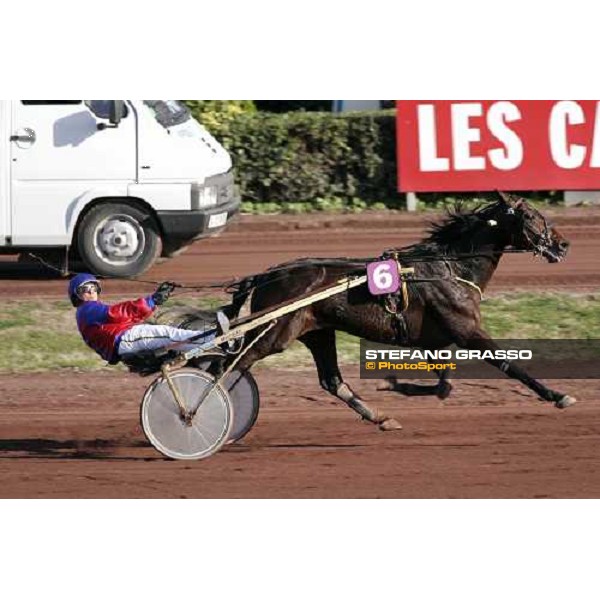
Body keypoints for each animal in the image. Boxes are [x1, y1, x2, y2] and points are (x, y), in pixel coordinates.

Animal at [204, 192, 576, 432]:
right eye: (530, 216)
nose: (562, 244)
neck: (450, 267)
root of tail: (266, 275)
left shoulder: (434, 341)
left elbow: (443, 386)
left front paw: (398, 386)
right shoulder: (468, 331)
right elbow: (510, 365)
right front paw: (559, 395)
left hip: (318, 332)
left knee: (331, 381)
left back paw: (380, 418)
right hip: (275, 334)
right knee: (224, 367)